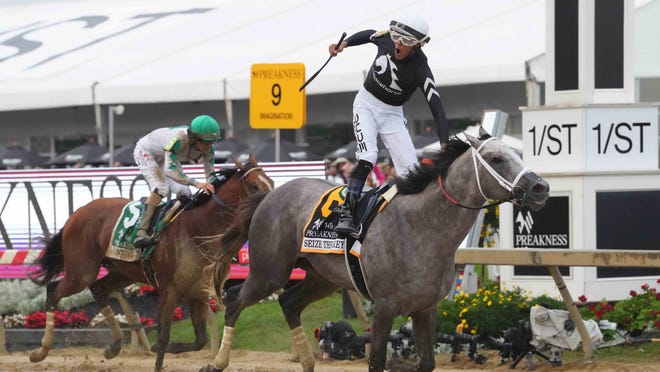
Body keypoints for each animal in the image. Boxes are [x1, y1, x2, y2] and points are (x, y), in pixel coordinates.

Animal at [28, 155, 274, 372]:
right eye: (254, 186)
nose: (270, 205)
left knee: (98, 289)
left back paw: (114, 346)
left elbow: (199, 340)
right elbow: (163, 336)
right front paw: (157, 352)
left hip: (123, 272)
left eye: (270, 182)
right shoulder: (169, 289)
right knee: (53, 291)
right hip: (82, 271)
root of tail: (77, 213)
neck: (195, 230)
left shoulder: (197, 292)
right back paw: (40, 351)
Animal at [200, 130, 548, 372]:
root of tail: (270, 194)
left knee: (288, 303)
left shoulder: (426, 309)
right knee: (235, 300)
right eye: (496, 159)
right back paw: (216, 363)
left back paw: (307, 361)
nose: (539, 187)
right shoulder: (384, 307)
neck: (422, 228)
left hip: (321, 278)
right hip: (269, 272)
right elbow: (376, 361)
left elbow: (427, 363)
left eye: (516, 153)